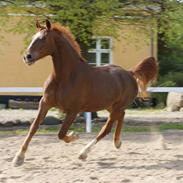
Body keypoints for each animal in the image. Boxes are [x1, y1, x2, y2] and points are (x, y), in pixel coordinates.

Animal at [12, 20, 158, 166]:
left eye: (43, 38)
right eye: (33, 37)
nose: (27, 57)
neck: (64, 77)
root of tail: (130, 73)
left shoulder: (73, 110)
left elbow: (61, 133)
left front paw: (74, 135)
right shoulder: (45, 103)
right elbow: (33, 127)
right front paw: (18, 158)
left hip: (117, 107)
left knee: (106, 128)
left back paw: (84, 153)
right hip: (110, 106)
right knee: (121, 116)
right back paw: (117, 142)